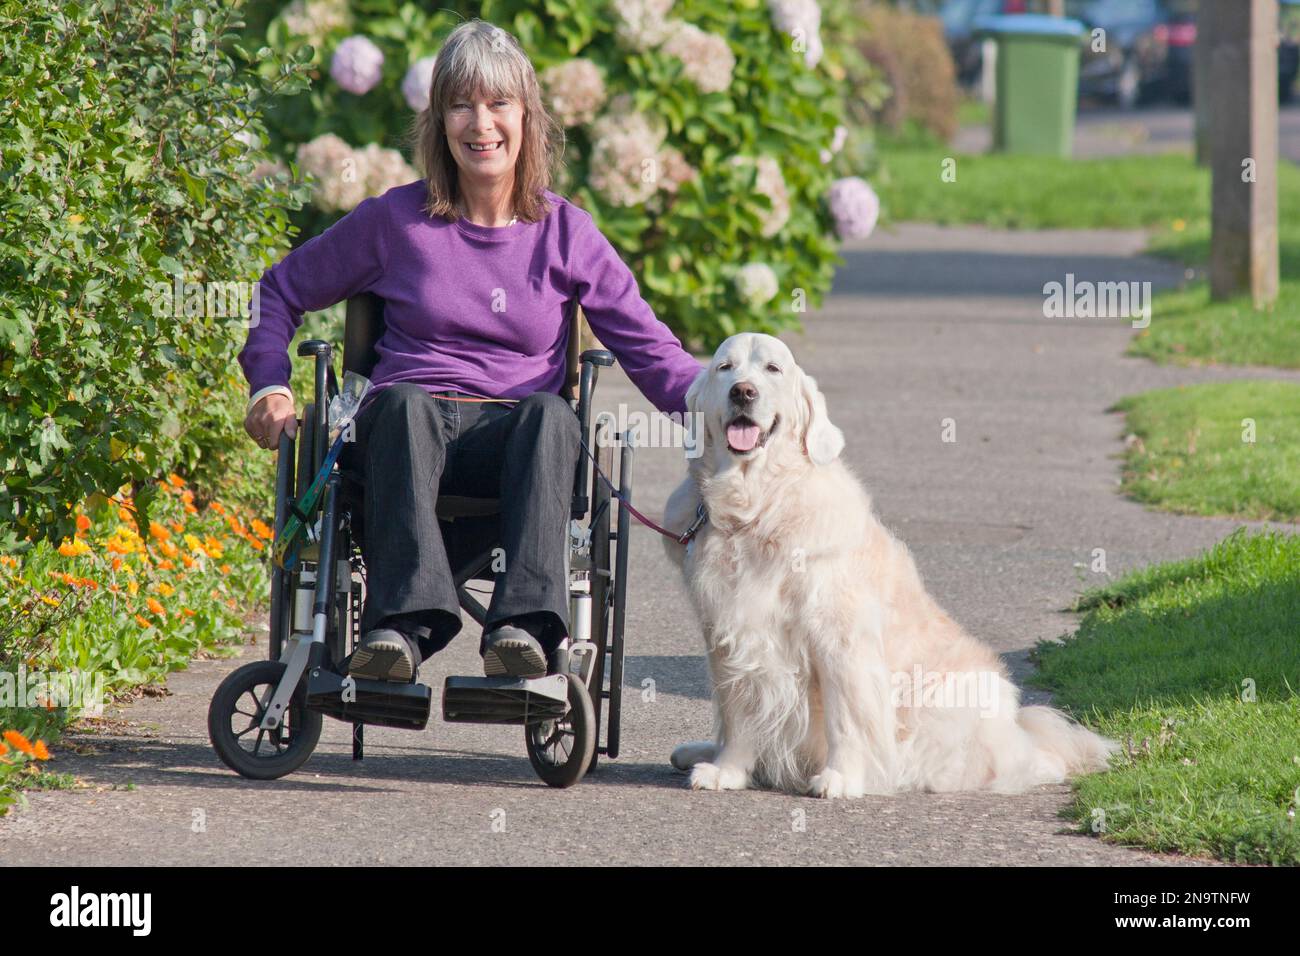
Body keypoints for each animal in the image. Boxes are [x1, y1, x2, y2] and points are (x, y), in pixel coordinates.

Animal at [660, 332, 1118, 796]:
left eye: (773, 369)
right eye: (725, 368)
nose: (743, 392)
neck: (757, 507)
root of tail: (1019, 733)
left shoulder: (840, 636)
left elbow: (846, 715)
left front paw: (842, 776)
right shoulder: (729, 631)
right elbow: (738, 712)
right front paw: (728, 770)